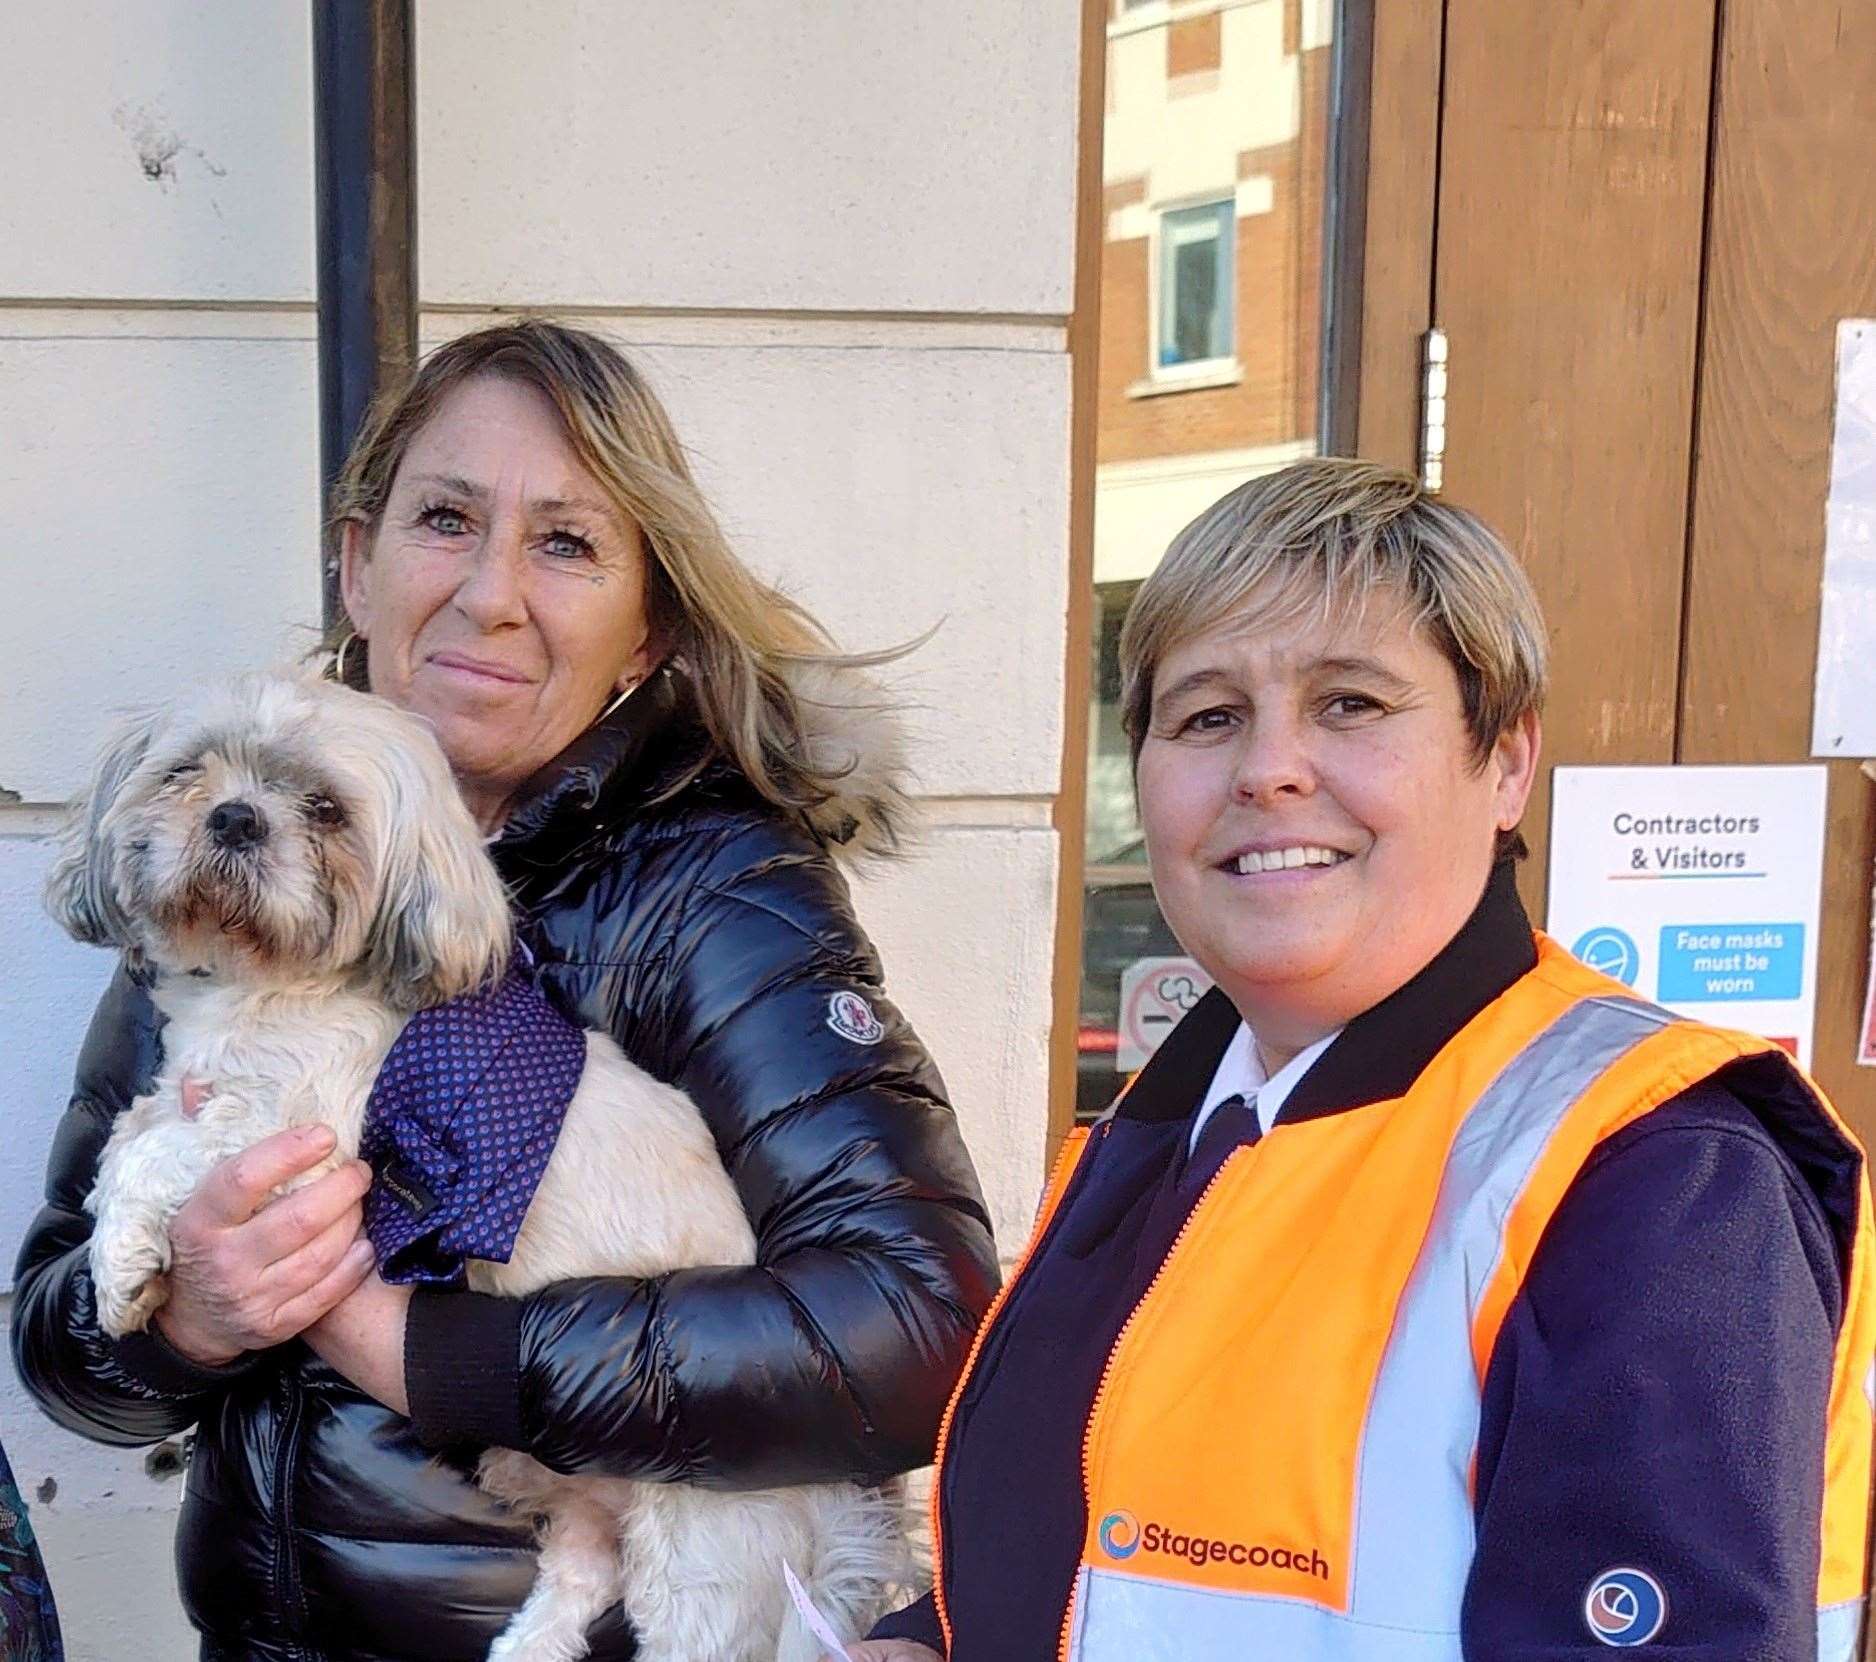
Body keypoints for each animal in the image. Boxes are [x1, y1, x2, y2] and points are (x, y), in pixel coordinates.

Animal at [45, 671, 907, 1658]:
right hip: (563, 1492)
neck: (264, 987)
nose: (234, 819)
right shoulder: (192, 1093)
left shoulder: (302, 1145)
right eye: (187, 770)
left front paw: (123, 1268)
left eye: (326, 809)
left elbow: (158, 1155)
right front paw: (128, 1266)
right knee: (582, 1572)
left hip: (699, 1553)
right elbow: (126, 1141)